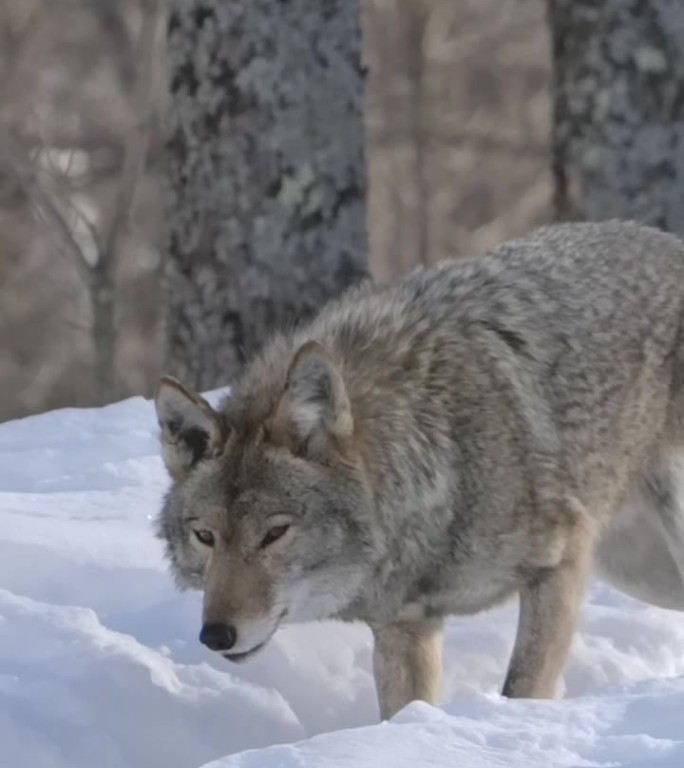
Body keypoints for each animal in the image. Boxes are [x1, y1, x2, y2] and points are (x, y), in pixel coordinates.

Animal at [152, 218, 684, 720]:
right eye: (206, 537)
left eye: (274, 534)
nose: (216, 635)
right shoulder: (404, 626)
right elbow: (402, 714)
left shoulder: (558, 567)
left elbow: (522, 688)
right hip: (639, 571)